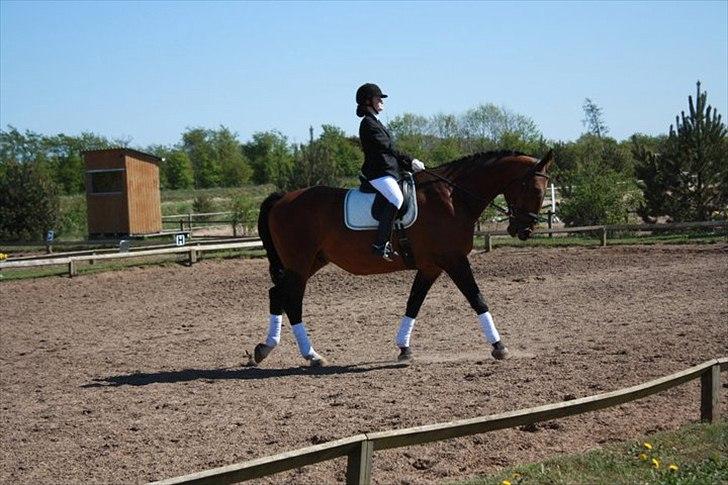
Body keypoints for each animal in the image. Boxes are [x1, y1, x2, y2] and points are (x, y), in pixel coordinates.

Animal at [249, 149, 552, 364]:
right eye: (536, 190)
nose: (524, 230)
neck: (453, 198)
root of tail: (283, 198)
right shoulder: (454, 260)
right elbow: (477, 298)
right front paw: (499, 347)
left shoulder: (431, 266)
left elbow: (413, 302)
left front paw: (404, 348)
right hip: (299, 263)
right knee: (291, 300)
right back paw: (311, 355)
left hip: (311, 261)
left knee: (277, 294)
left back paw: (265, 349)